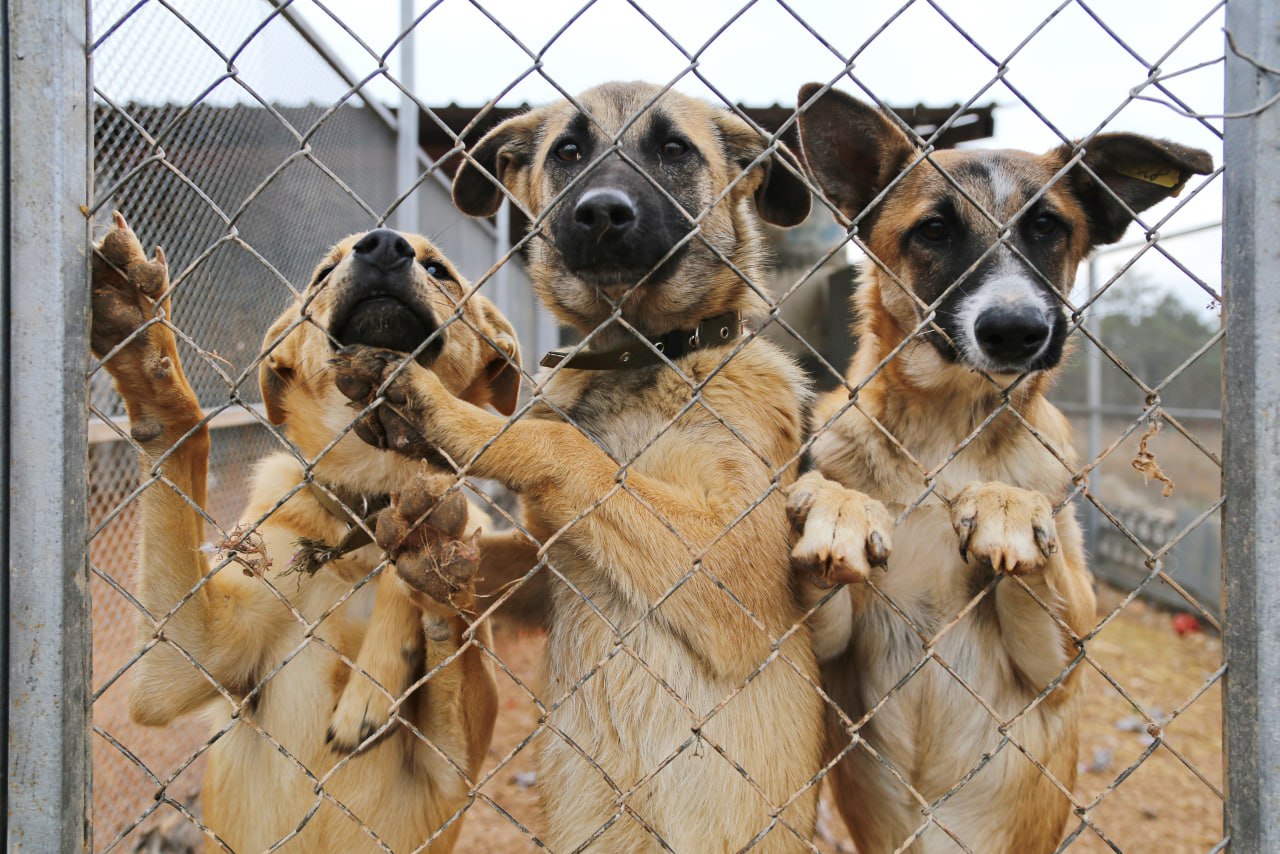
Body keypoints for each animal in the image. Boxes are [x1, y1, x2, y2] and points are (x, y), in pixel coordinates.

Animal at [330, 81, 824, 854]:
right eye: (568, 151)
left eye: (674, 148)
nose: (602, 214)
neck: (639, 360)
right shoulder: (548, 561)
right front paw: (426, 555)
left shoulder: (736, 561)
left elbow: (564, 448)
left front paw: (444, 412)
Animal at [783, 88, 1213, 854]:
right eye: (933, 231)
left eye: (1047, 227)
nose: (1015, 330)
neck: (947, 434)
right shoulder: (829, 648)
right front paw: (839, 507)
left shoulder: (1062, 661)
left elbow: (1038, 557)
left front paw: (1008, 509)